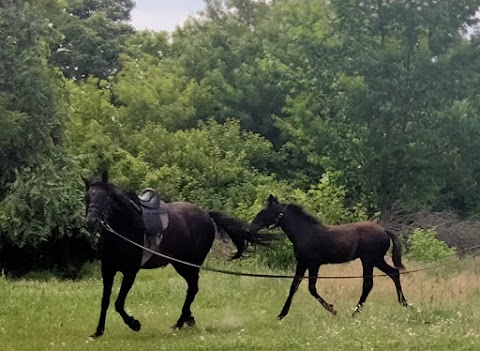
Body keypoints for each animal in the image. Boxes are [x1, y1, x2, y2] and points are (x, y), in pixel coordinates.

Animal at [83, 170, 270, 338]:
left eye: (105, 198)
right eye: (87, 198)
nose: (92, 222)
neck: (125, 227)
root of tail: (207, 214)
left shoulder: (130, 271)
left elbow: (119, 303)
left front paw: (134, 324)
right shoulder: (107, 269)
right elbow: (105, 301)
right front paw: (98, 331)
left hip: (188, 265)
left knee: (193, 289)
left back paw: (180, 322)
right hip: (181, 265)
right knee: (192, 289)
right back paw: (187, 319)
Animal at [251, 195, 408, 320]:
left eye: (264, 211)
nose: (252, 226)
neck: (305, 232)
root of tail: (385, 230)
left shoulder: (313, 264)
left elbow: (311, 288)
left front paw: (332, 309)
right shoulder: (302, 263)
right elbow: (294, 286)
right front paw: (282, 314)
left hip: (370, 260)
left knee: (369, 284)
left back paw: (355, 313)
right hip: (375, 260)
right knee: (393, 273)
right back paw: (404, 304)